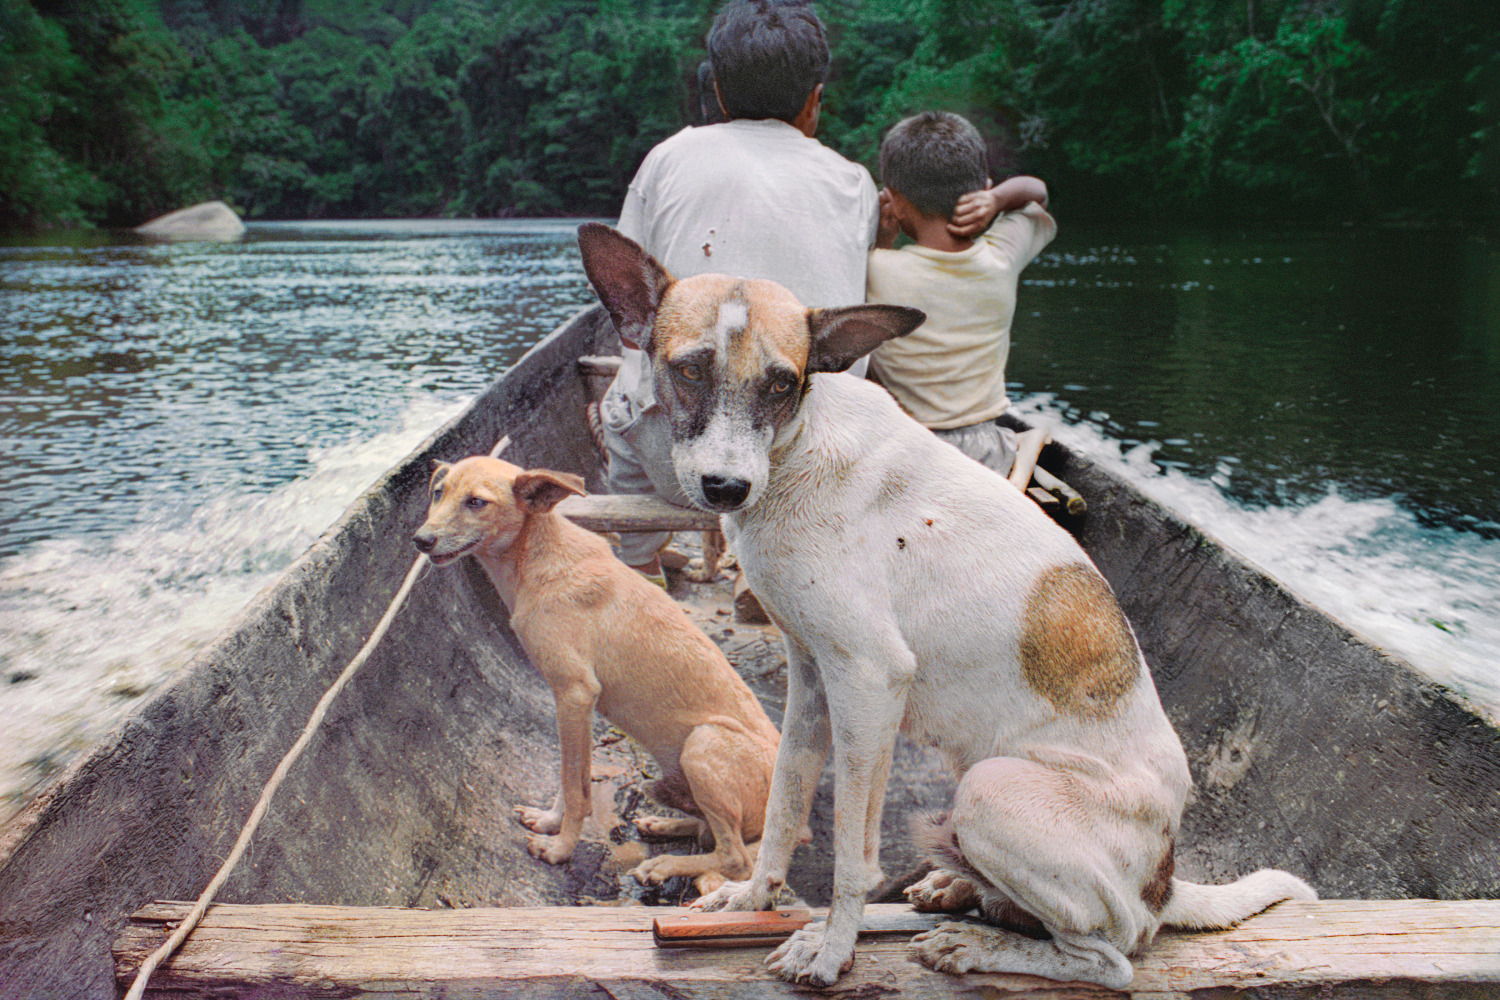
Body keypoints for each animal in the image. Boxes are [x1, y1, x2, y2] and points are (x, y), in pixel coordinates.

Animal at [414, 455, 780, 893]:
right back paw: (664, 826)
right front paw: (549, 822)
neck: (536, 558)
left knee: (736, 857)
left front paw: (560, 848)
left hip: (704, 742)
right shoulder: (572, 704)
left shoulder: (575, 693)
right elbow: (569, 775)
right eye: (439, 491)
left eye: (476, 502)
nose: (420, 540)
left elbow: (577, 790)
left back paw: (665, 864)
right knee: (713, 834)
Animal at [573, 223, 1314, 989]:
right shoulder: (812, 679)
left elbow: (851, 854)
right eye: (689, 369)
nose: (726, 488)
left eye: (782, 384)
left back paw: (977, 945)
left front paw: (832, 950)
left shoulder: (871, 679)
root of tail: (1163, 881)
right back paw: (961, 891)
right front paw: (752, 900)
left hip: (992, 793)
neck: (795, 452)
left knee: (1110, 957)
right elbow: (782, 807)